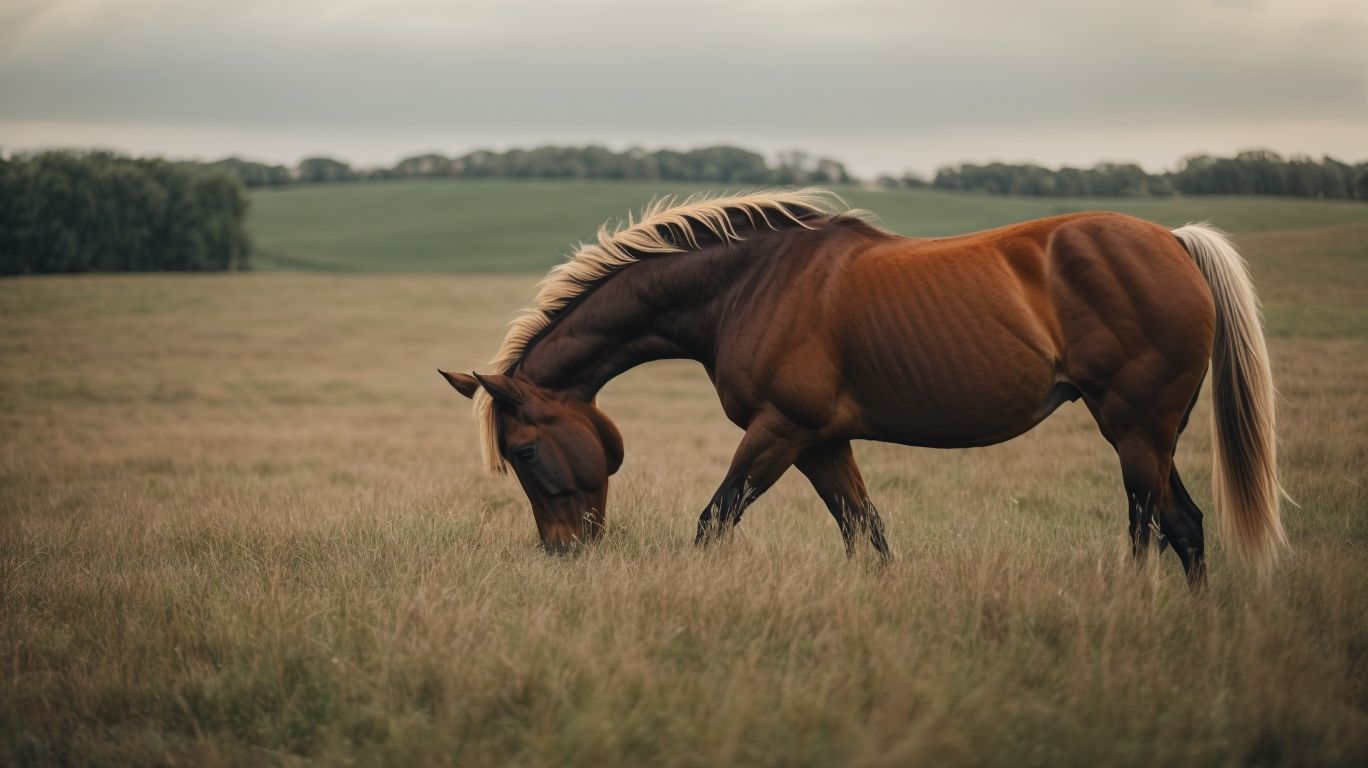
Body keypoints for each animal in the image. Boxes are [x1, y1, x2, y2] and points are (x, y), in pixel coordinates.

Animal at [439, 189, 1285, 584]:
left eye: (525, 451)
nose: (564, 552)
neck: (748, 283)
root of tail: (1172, 241)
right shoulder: (822, 441)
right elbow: (867, 535)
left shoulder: (778, 432)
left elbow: (715, 520)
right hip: (1152, 434)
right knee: (1187, 526)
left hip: (1134, 428)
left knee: (1152, 530)